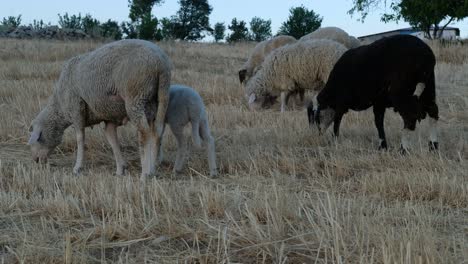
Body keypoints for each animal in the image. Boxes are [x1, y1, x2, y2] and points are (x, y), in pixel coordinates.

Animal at [26, 38, 172, 177]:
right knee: (156, 131)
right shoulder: (109, 118)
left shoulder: (76, 109)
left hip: (135, 96)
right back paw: (152, 170)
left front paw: (77, 168)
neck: (59, 108)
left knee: (144, 132)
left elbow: (80, 139)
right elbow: (112, 140)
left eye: (37, 138)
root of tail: (160, 62)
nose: (36, 160)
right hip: (156, 99)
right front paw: (120, 169)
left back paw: (145, 173)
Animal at [308, 33, 438, 153]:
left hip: (401, 90)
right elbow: (378, 122)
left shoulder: (342, 102)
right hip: (429, 86)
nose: (314, 137)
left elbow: (337, 121)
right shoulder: (378, 101)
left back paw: (404, 149)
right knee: (433, 111)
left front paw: (334, 141)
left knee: (409, 117)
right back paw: (433, 146)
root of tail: (425, 56)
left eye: (313, 116)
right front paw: (382, 146)